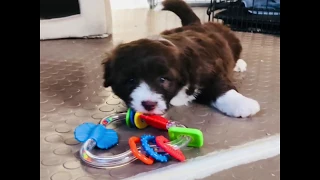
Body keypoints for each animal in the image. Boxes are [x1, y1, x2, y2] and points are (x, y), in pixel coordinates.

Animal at [102, 0, 260, 117]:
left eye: (163, 79)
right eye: (131, 81)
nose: (149, 105)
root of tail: (195, 23)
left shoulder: (209, 70)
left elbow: (221, 87)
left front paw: (242, 104)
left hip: (232, 41)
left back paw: (239, 64)